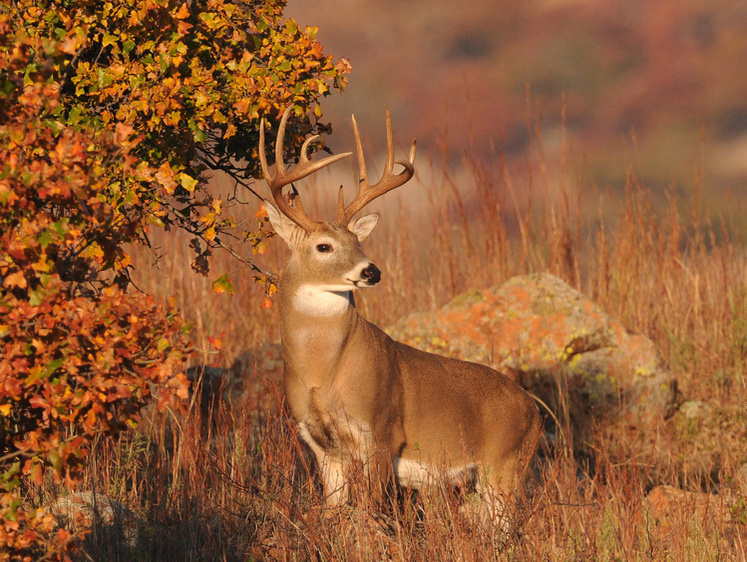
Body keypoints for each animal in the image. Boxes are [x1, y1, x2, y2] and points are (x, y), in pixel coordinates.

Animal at [260, 107, 540, 524]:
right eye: (324, 246)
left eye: (358, 242)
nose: (371, 271)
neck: (321, 372)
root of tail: (535, 412)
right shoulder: (321, 445)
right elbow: (334, 513)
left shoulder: (381, 430)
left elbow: (371, 512)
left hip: (504, 467)